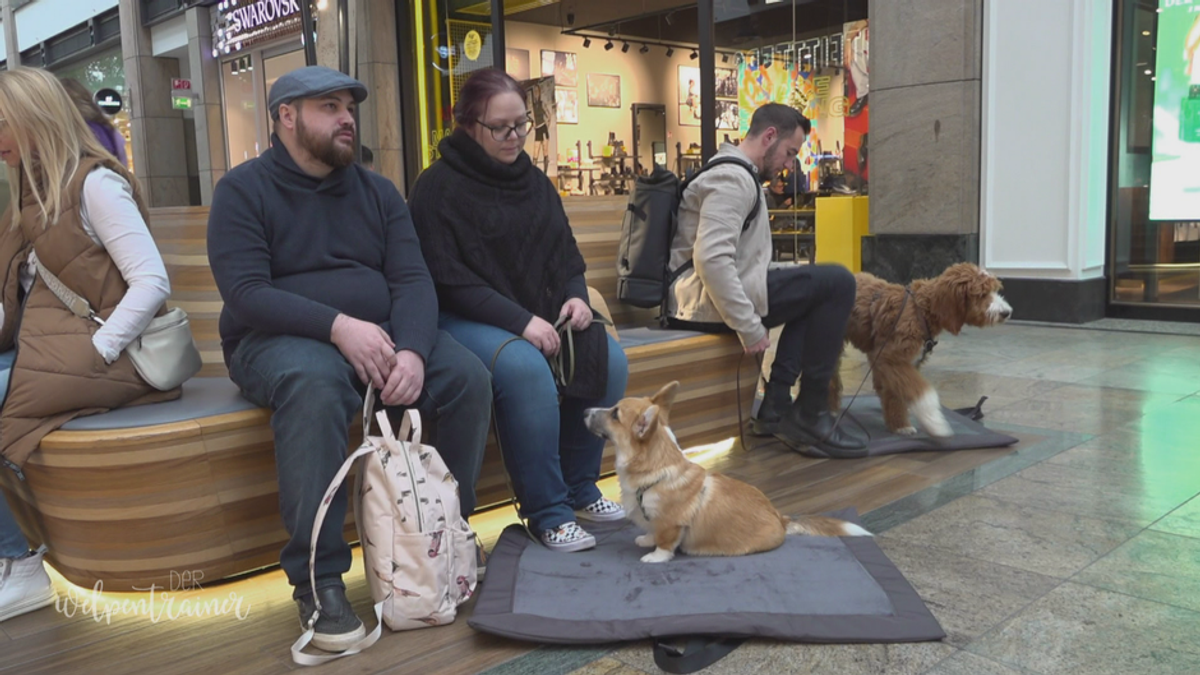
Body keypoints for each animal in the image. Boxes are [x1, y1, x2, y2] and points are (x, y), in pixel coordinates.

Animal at [585, 379, 868, 562]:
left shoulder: (671, 523)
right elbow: (651, 532)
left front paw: (654, 557)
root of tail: (781, 518)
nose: (586, 409)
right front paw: (645, 539)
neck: (656, 471)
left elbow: (665, 543)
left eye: (615, 414)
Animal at [835, 263, 1012, 437]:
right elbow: (920, 391)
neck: (921, 309)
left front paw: (899, 425)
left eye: (995, 290)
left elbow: (896, 393)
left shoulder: (902, 363)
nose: (1006, 312)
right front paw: (934, 421)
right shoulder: (890, 358)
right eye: (982, 294)